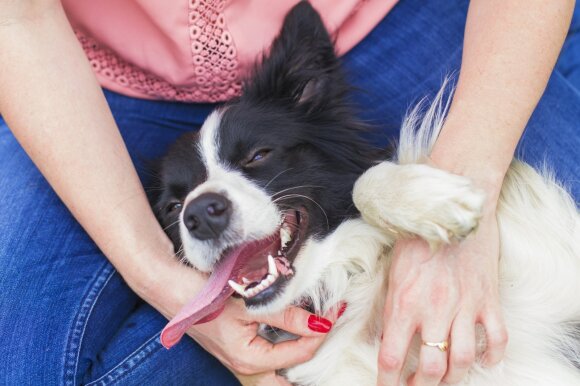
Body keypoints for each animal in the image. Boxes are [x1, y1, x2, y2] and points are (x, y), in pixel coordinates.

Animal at [152, 1, 580, 384]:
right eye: (174, 207)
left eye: (258, 154)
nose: (200, 214)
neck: (346, 281)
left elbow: (364, 181)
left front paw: (435, 203)